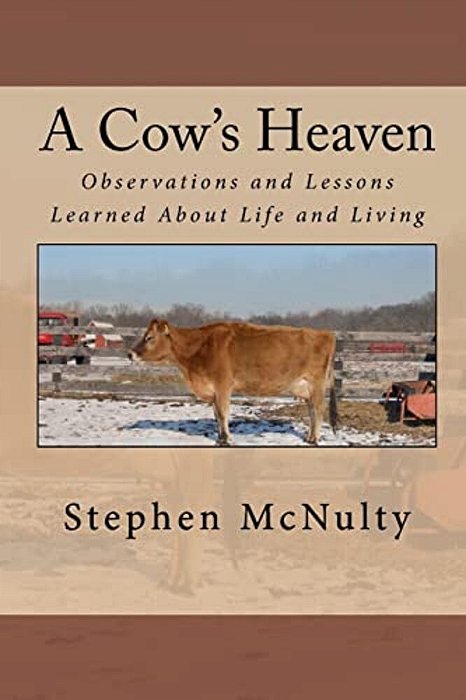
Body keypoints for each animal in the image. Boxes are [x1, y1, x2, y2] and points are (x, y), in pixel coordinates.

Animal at [129, 319, 338, 446]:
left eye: (149, 337)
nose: (130, 353)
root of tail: (326, 333)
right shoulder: (214, 390)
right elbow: (216, 414)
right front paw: (221, 438)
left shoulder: (223, 385)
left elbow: (223, 413)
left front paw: (228, 439)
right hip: (307, 388)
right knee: (312, 411)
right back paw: (310, 437)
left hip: (316, 384)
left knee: (318, 410)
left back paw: (314, 439)